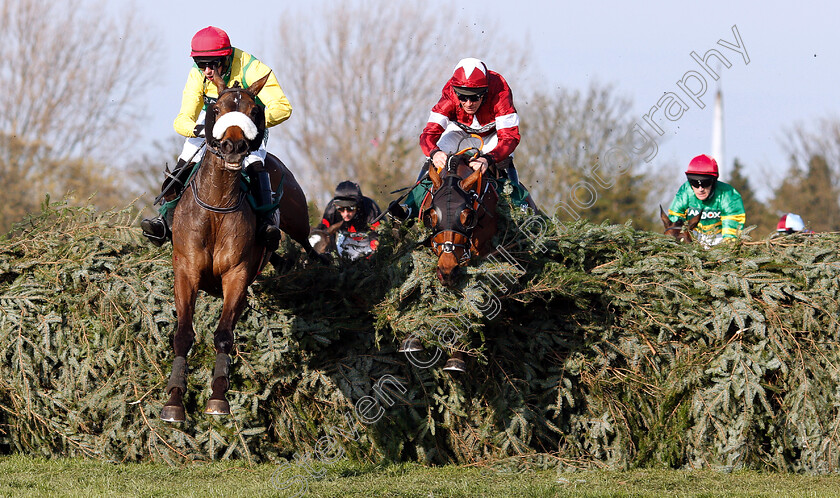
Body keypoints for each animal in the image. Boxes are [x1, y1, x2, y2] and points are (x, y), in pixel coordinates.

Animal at [162, 72, 320, 422]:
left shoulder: (237, 275)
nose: (234, 147)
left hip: (297, 220)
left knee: (309, 246)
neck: (217, 206)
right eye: (216, 109)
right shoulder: (186, 270)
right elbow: (183, 334)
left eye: (253, 110)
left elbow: (223, 335)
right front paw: (174, 400)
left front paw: (218, 397)